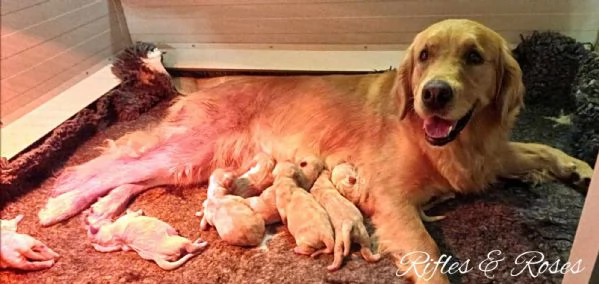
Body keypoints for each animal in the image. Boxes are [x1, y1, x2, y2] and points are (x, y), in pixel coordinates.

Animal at [38, 18, 596, 282]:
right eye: (424, 55)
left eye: (475, 57)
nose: (433, 93)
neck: (452, 140)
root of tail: (197, 87)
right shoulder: (389, 197)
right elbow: (428, 254)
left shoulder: (488, 155)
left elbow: (539, 148)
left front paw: (581, 170)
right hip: (189, 149)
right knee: (108, 165)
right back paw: (60, 204)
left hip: (195, 163)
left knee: (132, 175)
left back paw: (102, 214)